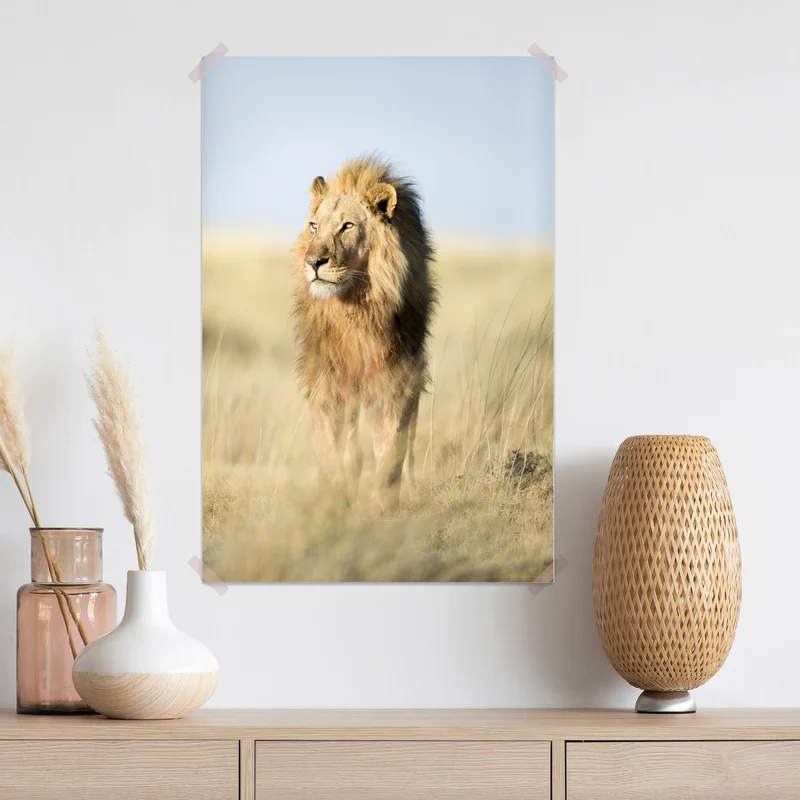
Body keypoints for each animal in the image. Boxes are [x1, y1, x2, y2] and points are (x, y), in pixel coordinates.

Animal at [293, 156, 437, 512]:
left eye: (347, 226)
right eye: (314, 226)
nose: (314, 261)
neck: (355, 309)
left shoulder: (397, 379)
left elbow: (391, 449)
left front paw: (382, 509)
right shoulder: (326, 381)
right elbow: (330, 450)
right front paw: (333, 504)